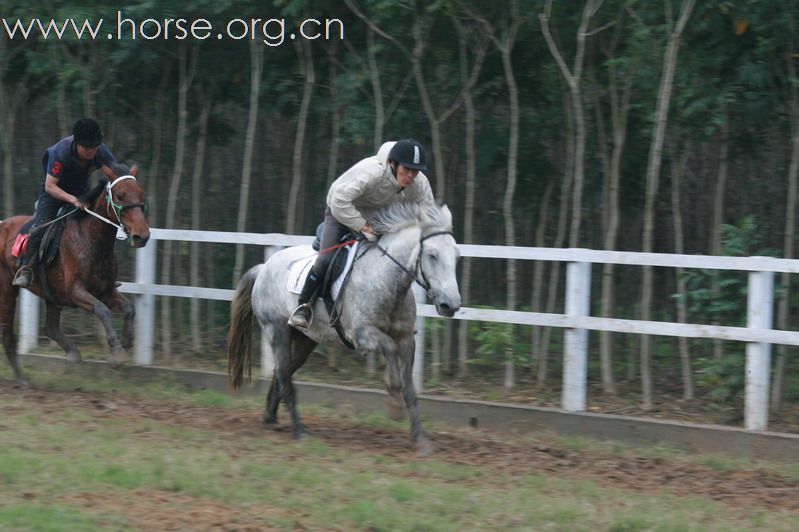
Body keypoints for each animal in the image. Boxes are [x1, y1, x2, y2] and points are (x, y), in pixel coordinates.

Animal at [0, 163, 152, 386]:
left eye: (141, 193)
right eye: (120, 195)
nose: (142, 236)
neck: (92, 239)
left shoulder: (105, 290)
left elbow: (129, 308)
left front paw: (126, 341)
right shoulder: (76, 292)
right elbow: (102, 310)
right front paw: (116, 352)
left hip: (51, 293)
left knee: (51, 328)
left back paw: (71, 352)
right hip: (7, 289)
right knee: (8, 334)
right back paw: (21, 379)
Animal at [227, 203, 462, 448]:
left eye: (456, 257)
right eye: (432, 255)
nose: (451, 304)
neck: (386, 280)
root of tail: (264, 268)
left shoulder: (407, 339)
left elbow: (409, 388)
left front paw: (420, 439)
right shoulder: (362, 335)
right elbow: (390, 351)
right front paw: (394, 399)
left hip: (304, 339)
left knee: (283, 371)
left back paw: (270, 417)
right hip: (277, 330)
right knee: (283, 374)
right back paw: (299, 430)